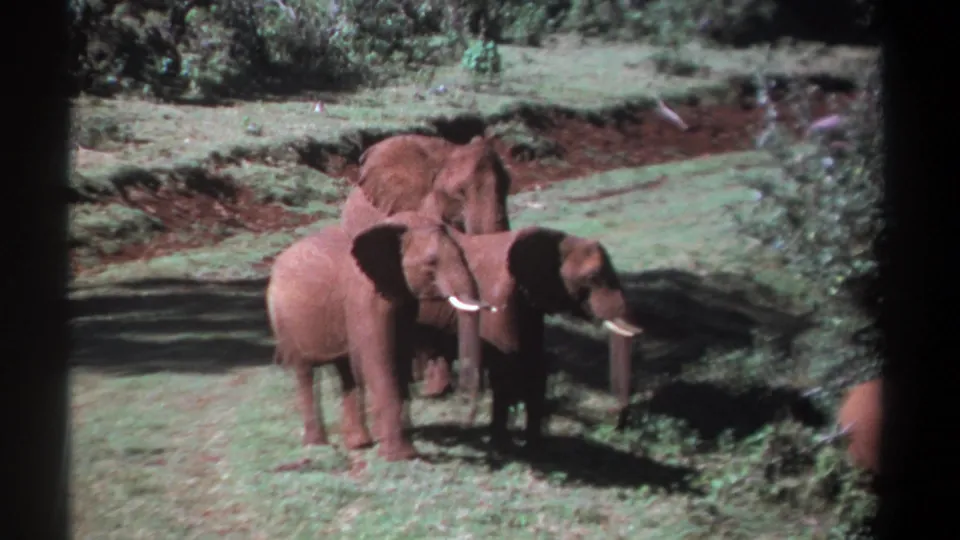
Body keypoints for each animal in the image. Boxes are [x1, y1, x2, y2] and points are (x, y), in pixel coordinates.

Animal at [265, 212, 493, 461]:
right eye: (431, 262)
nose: (468, 420)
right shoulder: (364, 297)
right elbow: (380, 359)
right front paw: (400, 456)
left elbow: (399, 359)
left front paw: (403, 450)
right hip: (284, 321)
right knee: (305, 372)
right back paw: (316, 445)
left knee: (346, 371)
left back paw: (359, 444)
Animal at [410, 225, 644, 450]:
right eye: (593, 278)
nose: (619, 421)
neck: (556, 238)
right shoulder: (498, 301)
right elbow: (507, 369)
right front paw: (502, 445)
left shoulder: (530, 306)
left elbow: (536, 367)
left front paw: (535, 447)